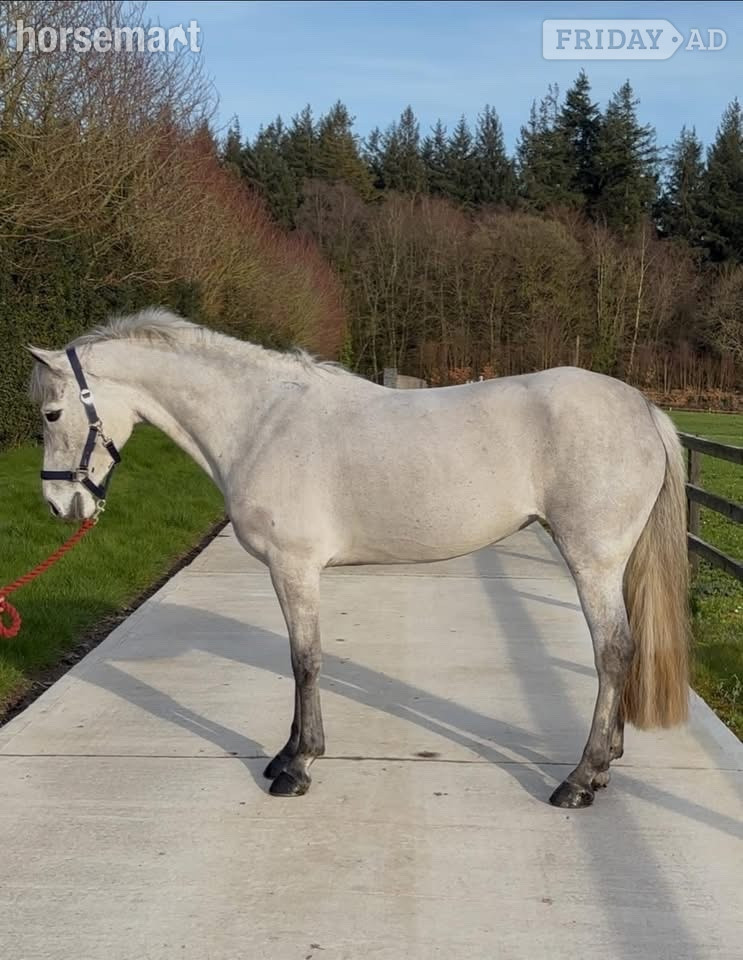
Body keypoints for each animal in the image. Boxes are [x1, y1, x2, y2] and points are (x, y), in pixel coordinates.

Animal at [28, 308, 690, 808]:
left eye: (51, 414)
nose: (61, 505)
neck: (259, 421)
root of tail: (643, 408)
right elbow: (298, 659)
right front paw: (284, 756)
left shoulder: (293, 567)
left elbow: (306, 661)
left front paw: (299, 766)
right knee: (622, 651)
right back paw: (604, 765)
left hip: (593, 559)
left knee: (613, 651)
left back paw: (579, 780)